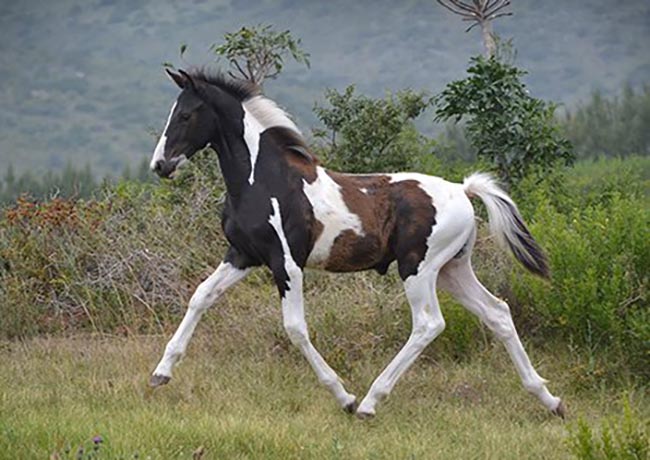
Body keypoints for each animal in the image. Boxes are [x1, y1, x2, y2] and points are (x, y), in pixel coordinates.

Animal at [147, 69, 560, 420]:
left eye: (185, 115)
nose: (160, 166)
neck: (264, 180)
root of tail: (463, 189)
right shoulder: (243, 255)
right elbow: (201, 296)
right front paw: (161, 373)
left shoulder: (286, 263)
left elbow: (295, 328)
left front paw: (342, 395)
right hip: (451, 269)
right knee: (497, 312)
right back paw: (550, 399)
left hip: (419, 268)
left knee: (428, 324)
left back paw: (369, 402)